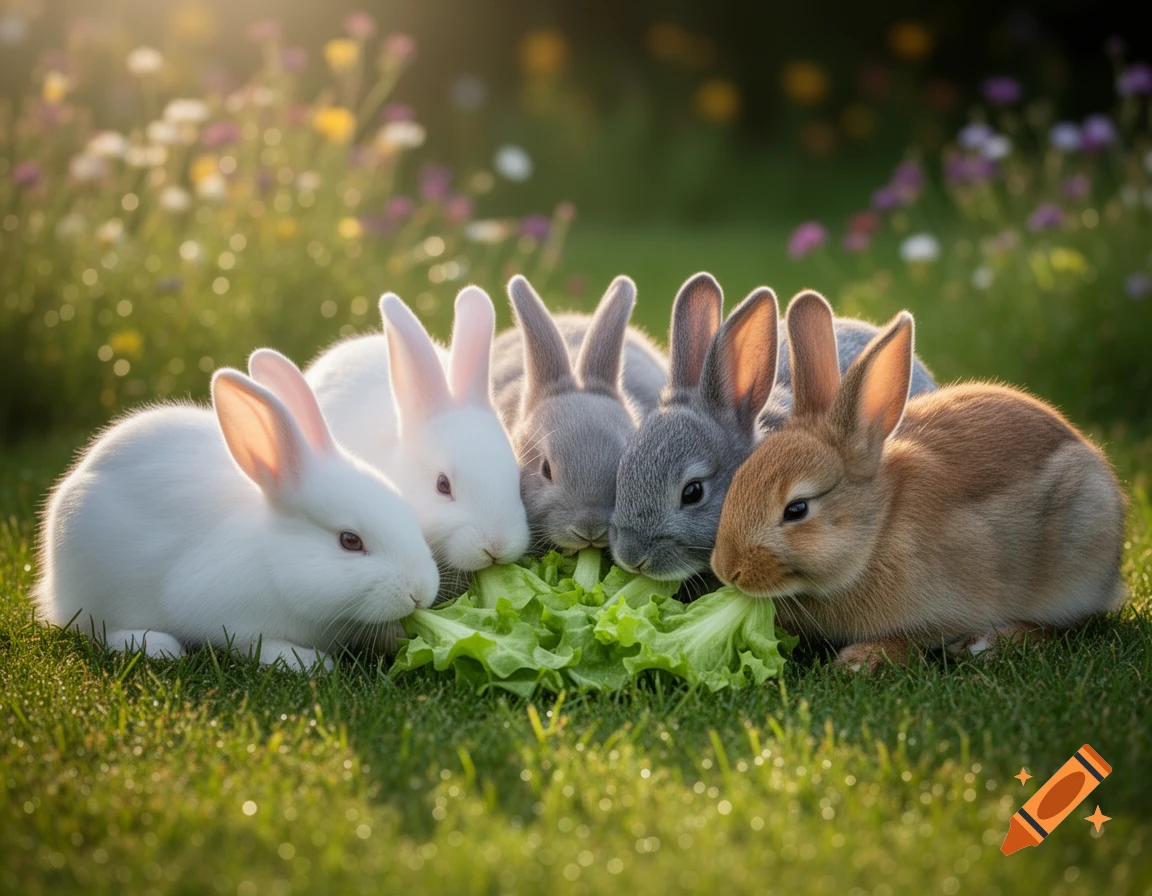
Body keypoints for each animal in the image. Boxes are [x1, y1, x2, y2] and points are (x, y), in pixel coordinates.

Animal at [34, 349, 439, 671]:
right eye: (350, 541)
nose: (420, 592)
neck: (274, 559)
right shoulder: (233, 620)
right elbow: (257, 646)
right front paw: (310, 663)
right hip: (94, 590)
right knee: (97, 629)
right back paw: (157, 646)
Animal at [711, 290, 1127, 672]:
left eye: (797, 509)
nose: (726, 569)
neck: (878, 528)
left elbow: (914, 639)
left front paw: (862, 660)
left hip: (1081, 549)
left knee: (1071, 623)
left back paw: (992, 642)